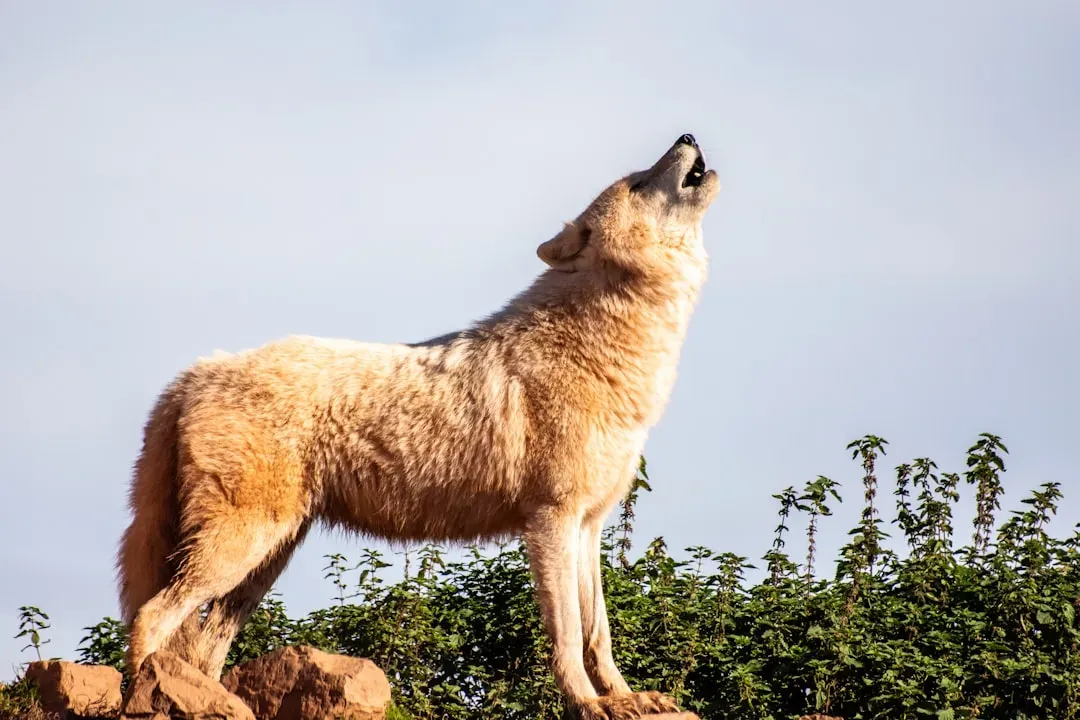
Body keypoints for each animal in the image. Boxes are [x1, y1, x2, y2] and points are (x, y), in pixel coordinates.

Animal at [117, 133, 720, 719]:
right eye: (639, 182)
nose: (688, 135)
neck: (603, 347)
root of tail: (193, 374)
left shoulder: (589, 525)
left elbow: (600, 633)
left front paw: (626, 698)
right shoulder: (551, 520)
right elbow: (568, 634)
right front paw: (589, 705)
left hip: (264, 558)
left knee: (202, 648)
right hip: (239, 546)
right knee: (151, 617)